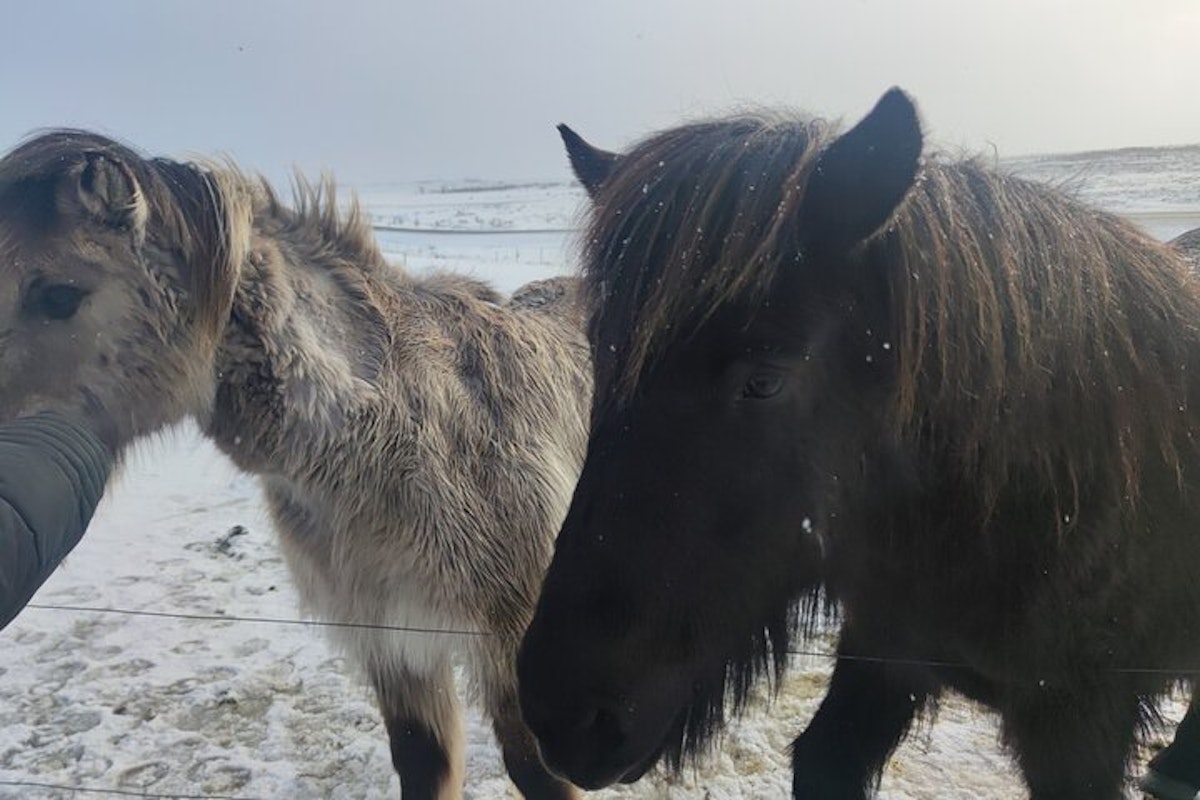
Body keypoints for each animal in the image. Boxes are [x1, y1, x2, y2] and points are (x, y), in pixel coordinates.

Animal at [518, 89, 1200, 800]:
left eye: (764, 379)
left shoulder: (1077, 722)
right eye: (599, 354)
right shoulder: (883, 657)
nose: (562, 716)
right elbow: (824, 754)